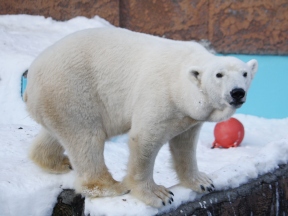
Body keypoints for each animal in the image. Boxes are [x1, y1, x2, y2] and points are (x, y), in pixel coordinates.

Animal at [24, 27, 258, 208]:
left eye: (245, 73)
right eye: (219, 75)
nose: (237, 92)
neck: (179, 83)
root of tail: (31, 79)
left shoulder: (188, 115)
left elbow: (185, 143)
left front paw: (202, 181)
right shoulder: (160, 95)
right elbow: (145, 139)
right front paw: (158, 195)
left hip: (57, 102)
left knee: (57, 133)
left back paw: (59, 162)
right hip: (73, 91)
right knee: (86, 138)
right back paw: (113, 185)